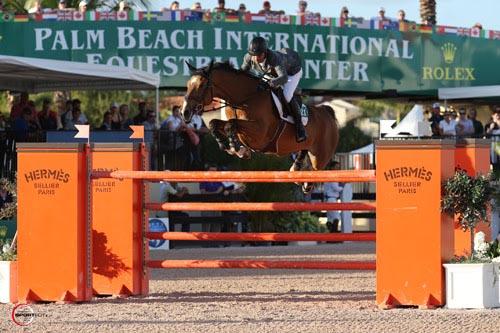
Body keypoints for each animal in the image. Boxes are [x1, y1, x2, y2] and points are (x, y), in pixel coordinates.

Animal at [181, 59, 340, 189]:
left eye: (202, 85)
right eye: (188, 85)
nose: (185, 112)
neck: (244, 98)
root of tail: (326, 112)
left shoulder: (260, 134)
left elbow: (230, 125)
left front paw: (237, 148)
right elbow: (215, 123)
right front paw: (230, 147)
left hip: (320, 157)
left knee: (316, 172)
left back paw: (307, 182)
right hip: (306, 146)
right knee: (303, 151)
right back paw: (296, 170)